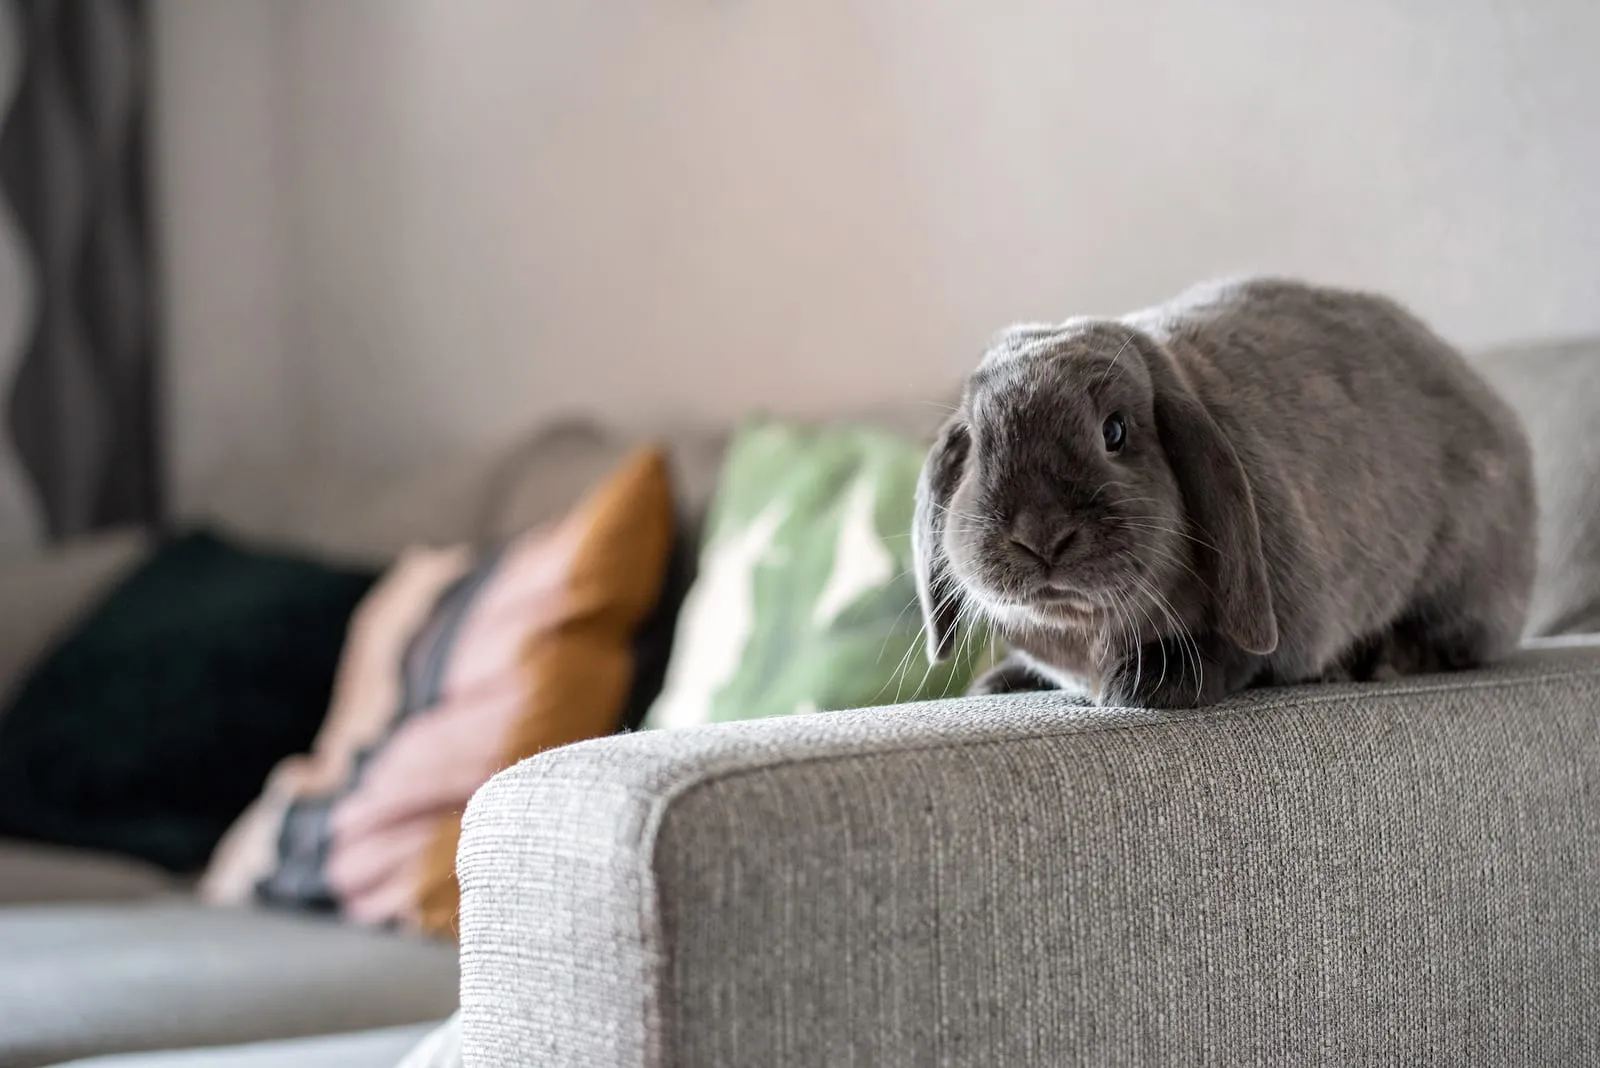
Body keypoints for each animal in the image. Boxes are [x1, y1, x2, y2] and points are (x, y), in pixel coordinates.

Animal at [913, 276, 1536, 709]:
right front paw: (997, 681)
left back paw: (1376, 661)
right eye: (977, 444)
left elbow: (1234, 656)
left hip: (1463, 579)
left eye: (1115, 431)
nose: (1040, 535)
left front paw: (1146, 685)